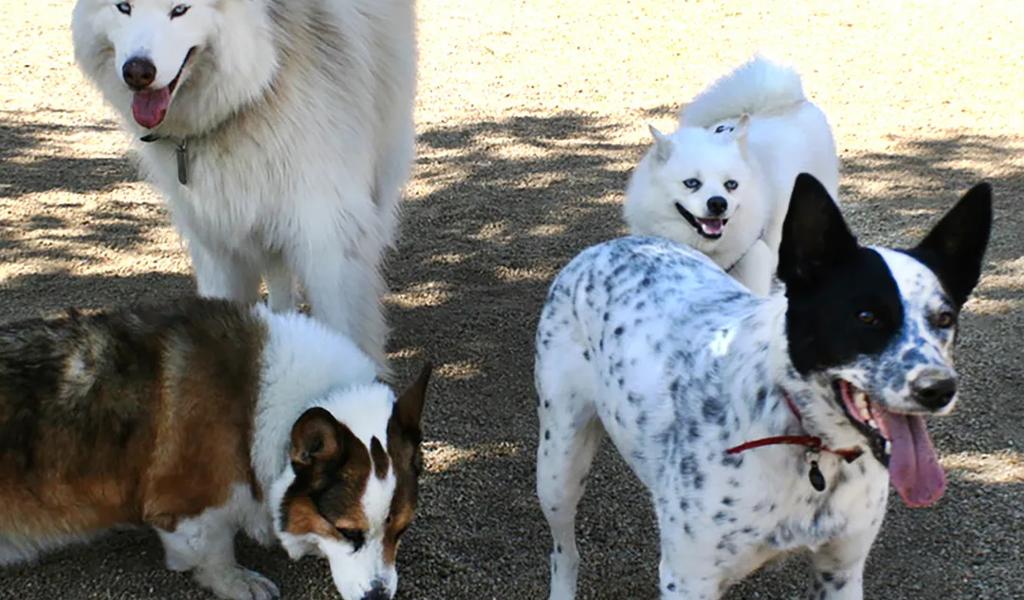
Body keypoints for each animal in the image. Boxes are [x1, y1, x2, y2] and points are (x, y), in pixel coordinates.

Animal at [0, 296, 428, 593]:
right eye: (346, 532)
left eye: (401, 531)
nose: (379, 596)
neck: (256, 407)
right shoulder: (192, 510)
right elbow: (214, 552)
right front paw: (238, 582)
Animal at [71, 0, 415, 364]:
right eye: (124, 7)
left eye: (180, 10)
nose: (137, 72)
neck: (257, 89)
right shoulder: (217, 239)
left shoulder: (326, 237)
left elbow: (345, 331)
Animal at [536, 174, 991, 597]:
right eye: (866, 317)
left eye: (945, 318)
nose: (939, 389)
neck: (808, 442)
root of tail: (614, 245)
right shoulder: (688, 580)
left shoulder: (841, 571)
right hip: (559, 467)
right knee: (564, 552)